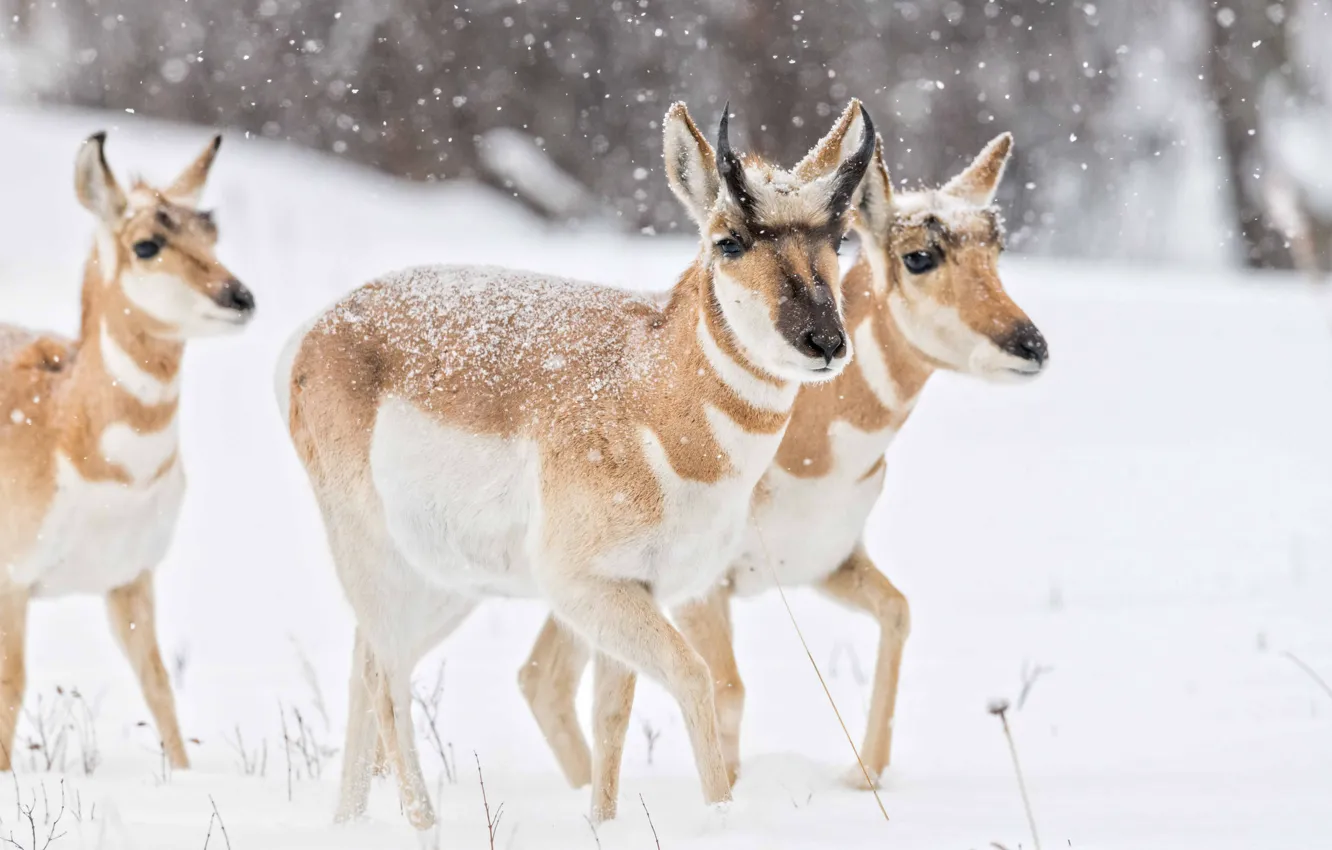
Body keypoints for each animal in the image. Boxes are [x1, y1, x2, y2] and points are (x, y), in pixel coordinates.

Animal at [0, 131, 253, 772]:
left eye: (210, 231)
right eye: (147, 244)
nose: (239, 297)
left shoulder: (131, 580)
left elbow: (158, 685)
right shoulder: (12, 583)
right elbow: (11, 686)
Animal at [281, 98, 873, 826]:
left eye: (839, 238)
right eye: (728, 239)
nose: (825, 341)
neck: (647, 390)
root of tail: (320, 331)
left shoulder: (634, 589)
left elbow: (611, 714)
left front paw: (603, 824)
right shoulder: (587, 589)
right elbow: (693, 678)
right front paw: (719, 815)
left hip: (444, 582)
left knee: (367, 672)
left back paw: (351, 822)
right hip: (375, 557)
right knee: (385, 678)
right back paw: (425, 825)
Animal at [519, 116, 1049, 810]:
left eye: (996, 245)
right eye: (919, 255)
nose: (1031, 345)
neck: (815, 454)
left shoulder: (829, 564)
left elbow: (899, 611)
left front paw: (863, 775)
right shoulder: (703, 590)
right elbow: (729, 691)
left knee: (541, 677)